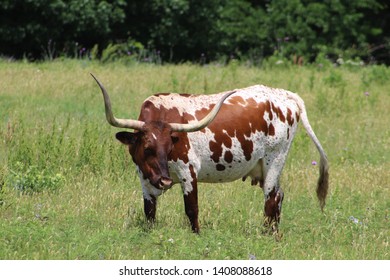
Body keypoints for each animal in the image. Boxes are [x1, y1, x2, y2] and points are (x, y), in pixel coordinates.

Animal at [92, 73, 330, 233]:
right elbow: (149, 211)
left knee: (271, 198)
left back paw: (265, 235)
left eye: (170, 148)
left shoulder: (188, 172)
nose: (165, 181)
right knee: (279, 196)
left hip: (275, 159)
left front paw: (196, 236)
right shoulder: (144, 177)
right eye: (147, 148)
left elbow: (192, 209)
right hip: (263, 166)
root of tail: (285, 95)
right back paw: (273, 234)